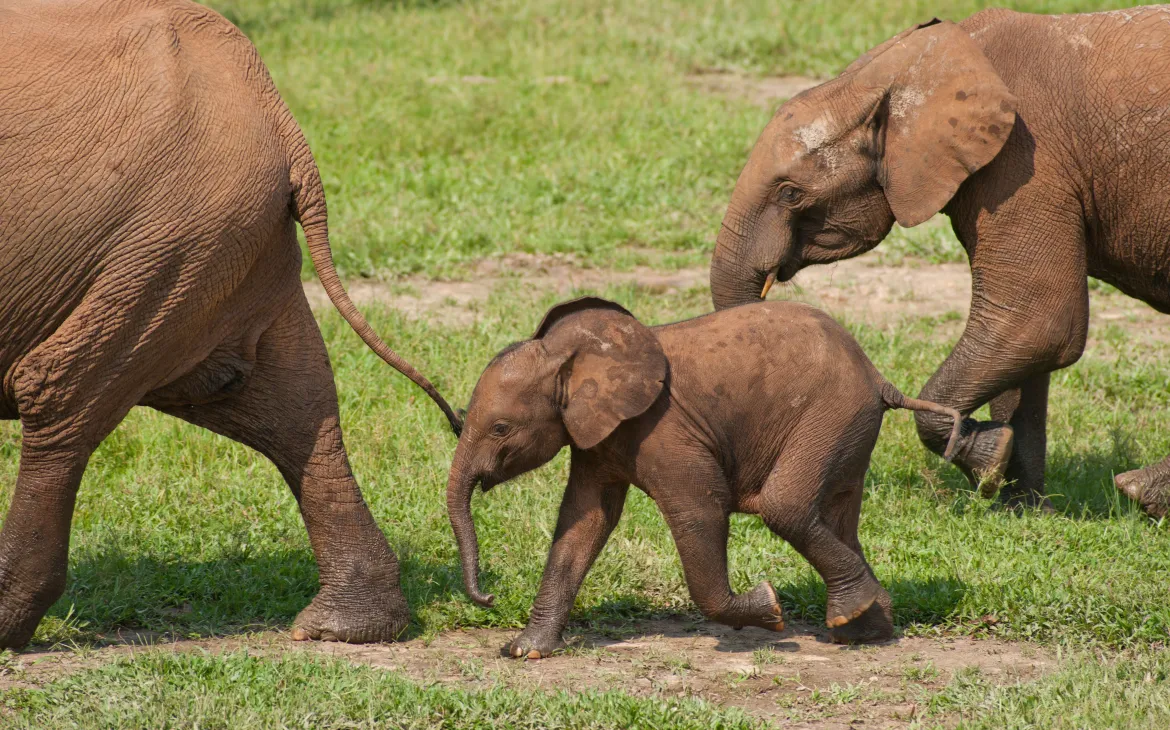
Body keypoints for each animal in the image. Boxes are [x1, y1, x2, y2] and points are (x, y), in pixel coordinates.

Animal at [0, 0, 463, 649]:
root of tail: (275, 110)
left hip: (168, 237)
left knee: (60, 391)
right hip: (221, 242)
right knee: (287, 401)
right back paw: (344, 627)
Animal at [446, 296, 962, 657]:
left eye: (500, 428)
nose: (489, 597)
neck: (571, 355)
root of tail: (880, 379)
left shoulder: (663, 428)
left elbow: (700, 508)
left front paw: (769, 607)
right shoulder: (596, 436)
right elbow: (583, 523)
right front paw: (524, 651)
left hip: (831, 415)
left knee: (786, 507)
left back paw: (849, 620)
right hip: (847, 428)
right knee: (838, 517)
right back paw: (865, 631)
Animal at [709, 8, 1170, 516]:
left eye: (790, 193)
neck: (903, 72)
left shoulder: (1026, 162)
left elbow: (1036, 322)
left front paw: (986, 463)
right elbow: (1025, 345)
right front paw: (1020, 504)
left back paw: (1138, 493)